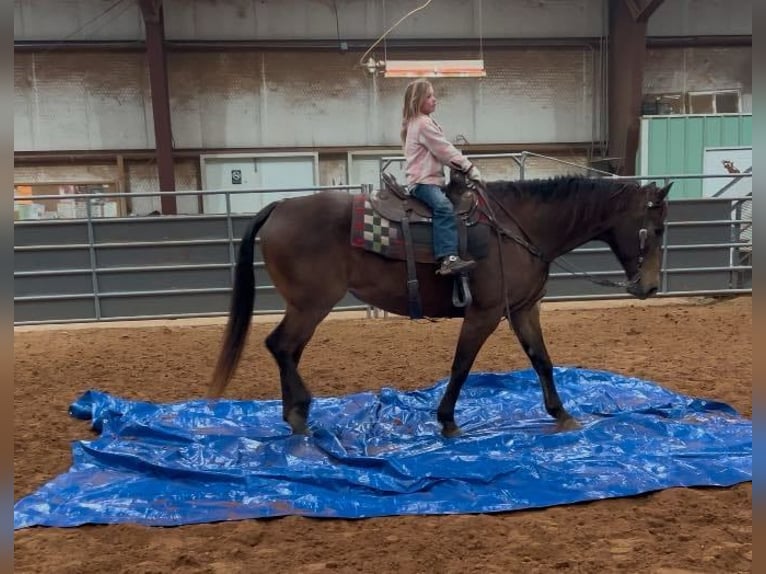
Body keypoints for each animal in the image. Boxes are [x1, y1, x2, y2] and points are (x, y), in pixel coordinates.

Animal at [210, 169, 672, 438]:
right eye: (657, 228)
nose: (650, 287)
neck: (519, 228)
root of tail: (279, 206)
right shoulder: (485, 313)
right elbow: (462, 365)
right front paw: (448, 420)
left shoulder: (523, 309)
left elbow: (542, 360)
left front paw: (561, 413)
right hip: (311, 304)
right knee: (281, 346)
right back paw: (299, 411)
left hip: (307, 307)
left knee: (287, 350)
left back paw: (295, 414)